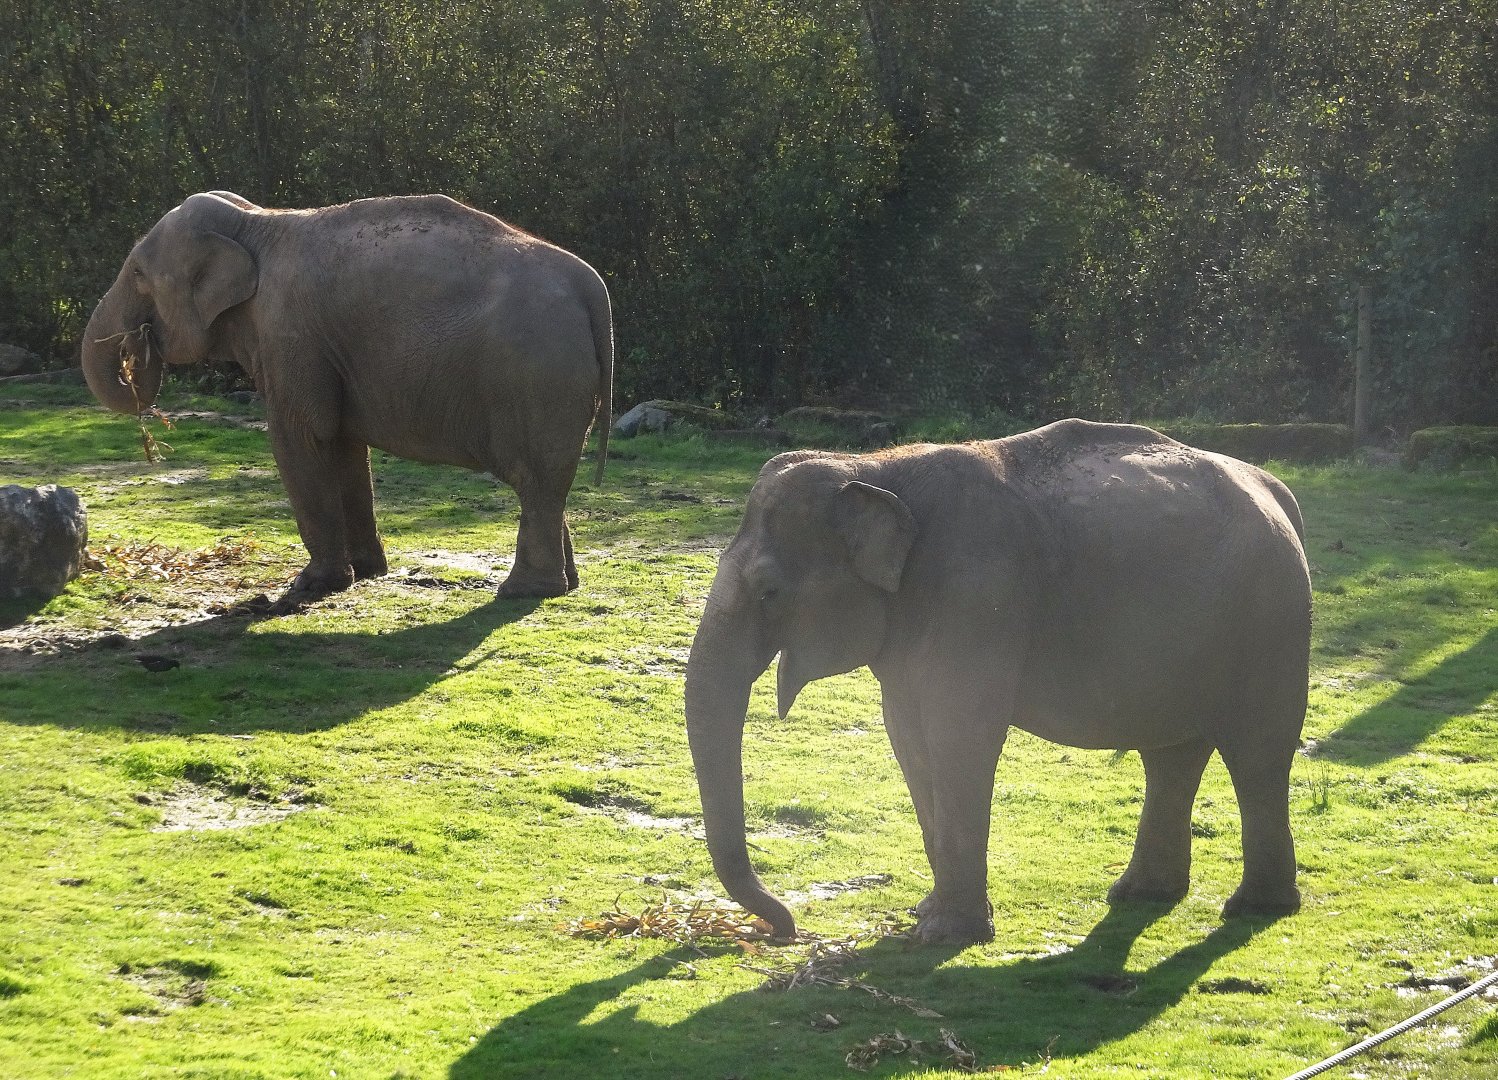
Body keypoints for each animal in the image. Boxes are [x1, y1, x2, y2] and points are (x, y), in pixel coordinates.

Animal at [82, 191, 613, 600]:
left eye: (138, 275)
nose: (137, 347)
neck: (255, 222)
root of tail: (589, 282)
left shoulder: (290, 333)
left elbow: (302, 437)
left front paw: (311, 585)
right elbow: (344, 445)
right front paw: (367, 574)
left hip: (537, 376)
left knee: (536, 480)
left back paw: (523, 591)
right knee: (548, 484)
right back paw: (563, 586)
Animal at [684, 419, 1311, 945]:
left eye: (769, 591)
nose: (784, 930)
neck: (875, 468)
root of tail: (1276, 489)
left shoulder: (976, 596)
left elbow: (960, 739)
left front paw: (946, 936)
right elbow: (908, 739)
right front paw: (928, 916)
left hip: (1269, 621)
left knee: (1257, 752)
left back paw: (1255, 908)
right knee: (1173, 755)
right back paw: (1141, 894)